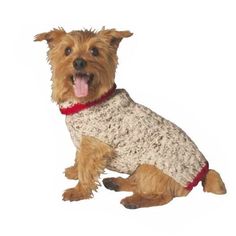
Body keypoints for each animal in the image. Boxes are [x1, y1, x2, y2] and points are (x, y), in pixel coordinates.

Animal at [35, 27, 227, 208]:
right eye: (67, 50)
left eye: (94, 51)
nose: (79, 62)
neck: (89, 100)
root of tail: (202, 172)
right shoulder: (83, 142)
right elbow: (78, 158)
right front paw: (75, 171)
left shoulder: (94, 146)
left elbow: (86, 169)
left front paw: (79, 191)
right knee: (138, 184)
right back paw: (115, 183)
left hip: (151, 167)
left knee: (161, 195)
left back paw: (133, 201)